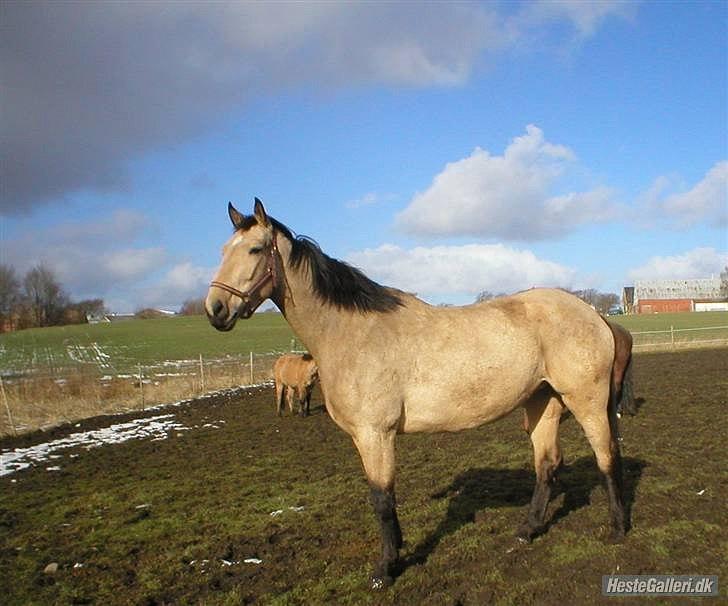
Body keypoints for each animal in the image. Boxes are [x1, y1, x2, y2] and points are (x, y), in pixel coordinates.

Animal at [206, 202, 632, 592]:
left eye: (255, 249)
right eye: (223, 249)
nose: (215, 309)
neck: (351, 333)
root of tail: (594, 315)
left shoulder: (375, 434)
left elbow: (381, 499)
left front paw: (385, 569)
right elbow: (384, 498)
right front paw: (396, 553)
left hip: (586, 401)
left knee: (607, 456)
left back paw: (617, 528)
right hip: (542, 403)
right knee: (548, 465)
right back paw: (527, 531)